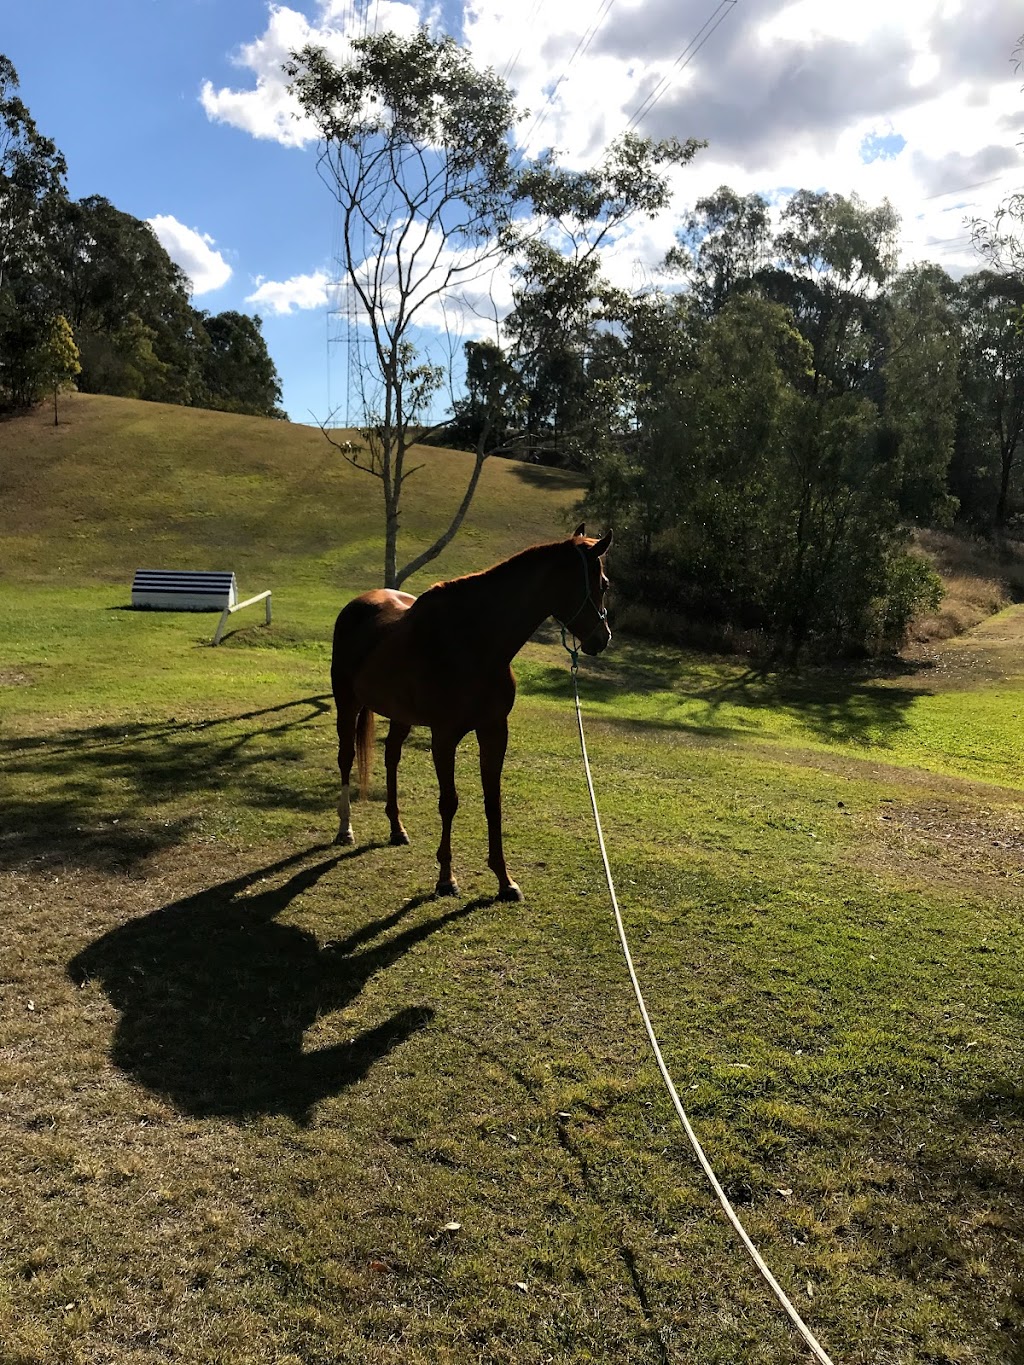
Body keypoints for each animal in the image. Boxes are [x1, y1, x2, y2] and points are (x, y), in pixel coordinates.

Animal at [333, 526, 614, 900]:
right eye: (603, 583)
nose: (602, 638)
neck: (474, 641)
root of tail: (358, 604)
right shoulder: (444, 737)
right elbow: (448, 802)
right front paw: (446, 879)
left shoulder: (494, 730)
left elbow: (492, 801)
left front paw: (505, 880)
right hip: (346, 703)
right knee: (346, 757)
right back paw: (345, 829)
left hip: (401, 716)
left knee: (391, 757)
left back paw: (397, 828)